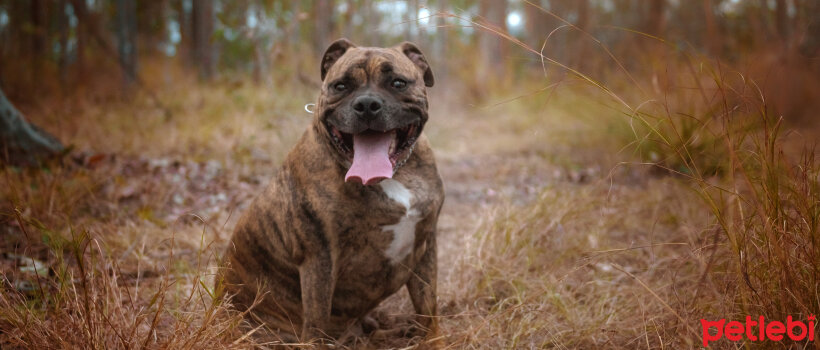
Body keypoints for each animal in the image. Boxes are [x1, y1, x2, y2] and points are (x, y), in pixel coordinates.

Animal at [221, 39, 446, 344]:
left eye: (398, 83)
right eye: (341, 86)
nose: (367, 104)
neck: (393, 177)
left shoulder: (426, 243)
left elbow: (428, 307)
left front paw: (433, 340)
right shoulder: (319, 258)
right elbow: (316, 320)